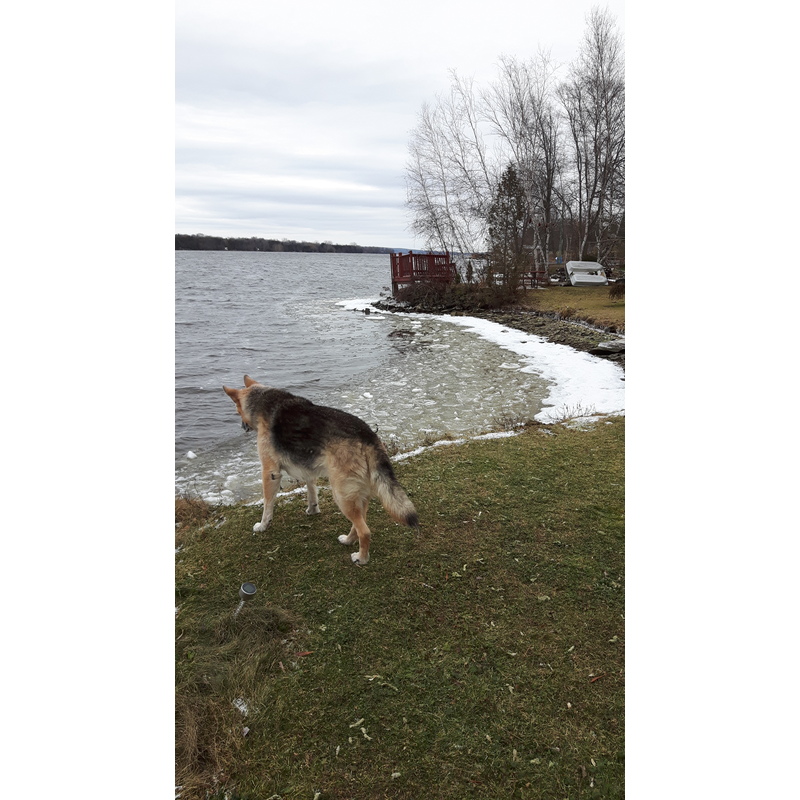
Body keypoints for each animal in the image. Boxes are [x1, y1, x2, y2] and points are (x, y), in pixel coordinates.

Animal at [223, 376, 418, 565]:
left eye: (237, 411)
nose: (242, 427)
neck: (262, 401)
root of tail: (367, 434)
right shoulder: (308, 470)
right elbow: (312, 492)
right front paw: (313, 510)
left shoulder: (270, 473)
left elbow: (267, 505)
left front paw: (263, 525)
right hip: (357, 494)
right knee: (359, 523)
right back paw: (348, 540)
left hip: (341, 495)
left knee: (365, 531)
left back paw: (361, 558)